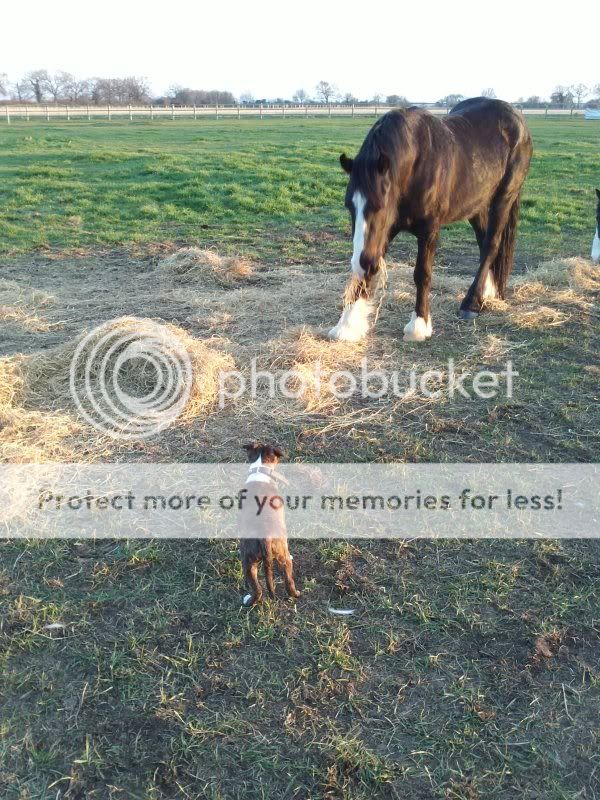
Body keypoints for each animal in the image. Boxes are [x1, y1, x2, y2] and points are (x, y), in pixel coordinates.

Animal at [239, 444, 300, 608]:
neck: (260, 468)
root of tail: (265, 537)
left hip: (248, 561)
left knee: (258, 590)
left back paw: (248, 601)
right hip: (280, 557)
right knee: (288, 582)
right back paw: (296, 593)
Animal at [330, 97, 532, 340]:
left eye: (379, 205)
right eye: (349, 206)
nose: (364, 264)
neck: (416, 163)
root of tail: (516, 116)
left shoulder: (429, 228)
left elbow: (422, 273)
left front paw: (419, 324)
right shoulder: (387, 229)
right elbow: (364, 275)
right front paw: (347, 325)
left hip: (504, 197)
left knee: (491, 245)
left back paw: (471, 303)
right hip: (476, 205)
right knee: (484, 242)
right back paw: (487, 291)